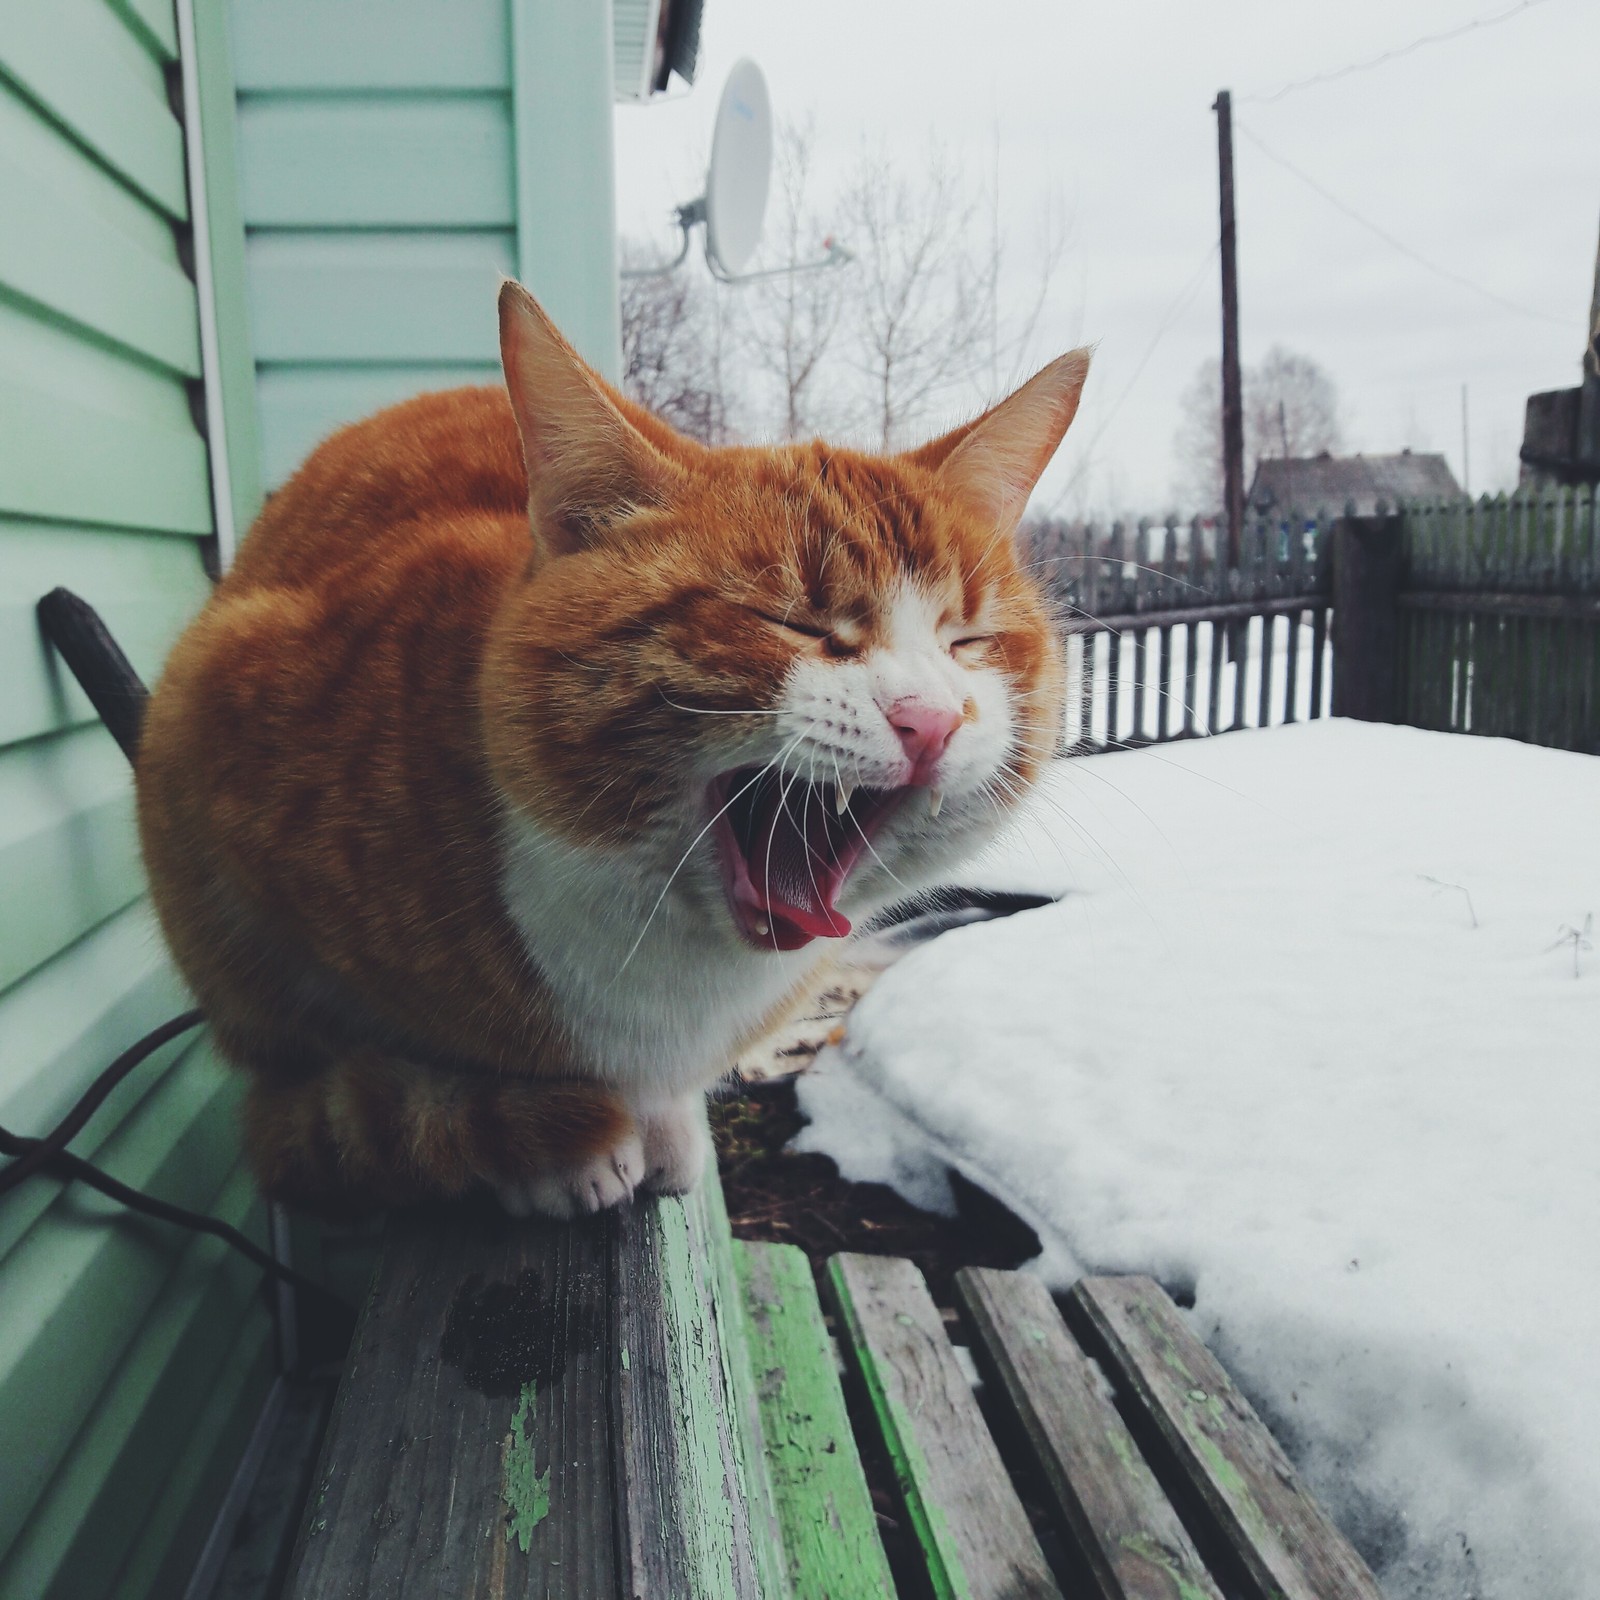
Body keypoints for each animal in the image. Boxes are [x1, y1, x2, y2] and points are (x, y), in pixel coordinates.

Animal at [134, 284, 1088, 1209]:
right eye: (793, 622)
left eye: (969, 641)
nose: (930, 720)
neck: (668, 962)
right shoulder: (216, 723)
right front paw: (549, 1145)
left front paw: (662, 1121)